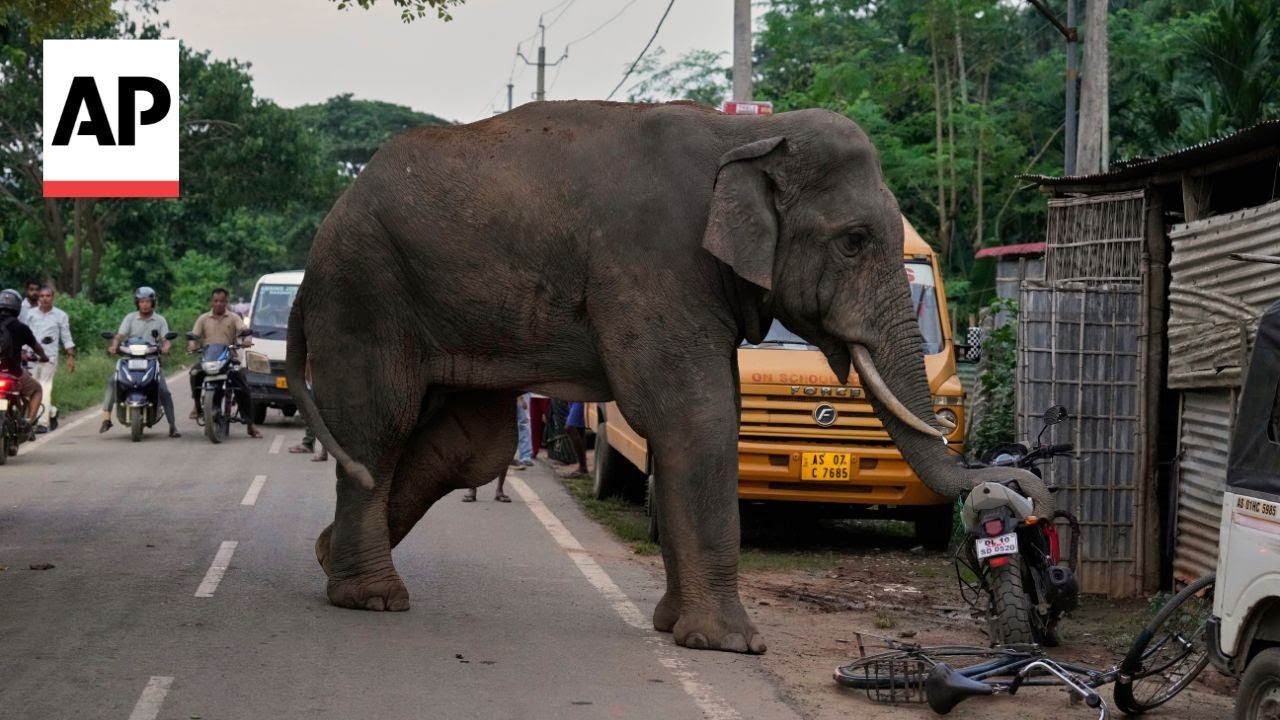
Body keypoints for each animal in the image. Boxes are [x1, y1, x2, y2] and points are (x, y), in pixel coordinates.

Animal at [285, 100, 1051, 654]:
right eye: (855, 241)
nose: (1011, 489)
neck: (746, 135)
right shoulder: (654, 263)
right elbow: (694, 416)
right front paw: (734, 645)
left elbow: (708, 418)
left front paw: (675, 627)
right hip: (367, 293)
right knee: (379, 429)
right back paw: (371, 597)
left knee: (465, 445)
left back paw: (325, 557)